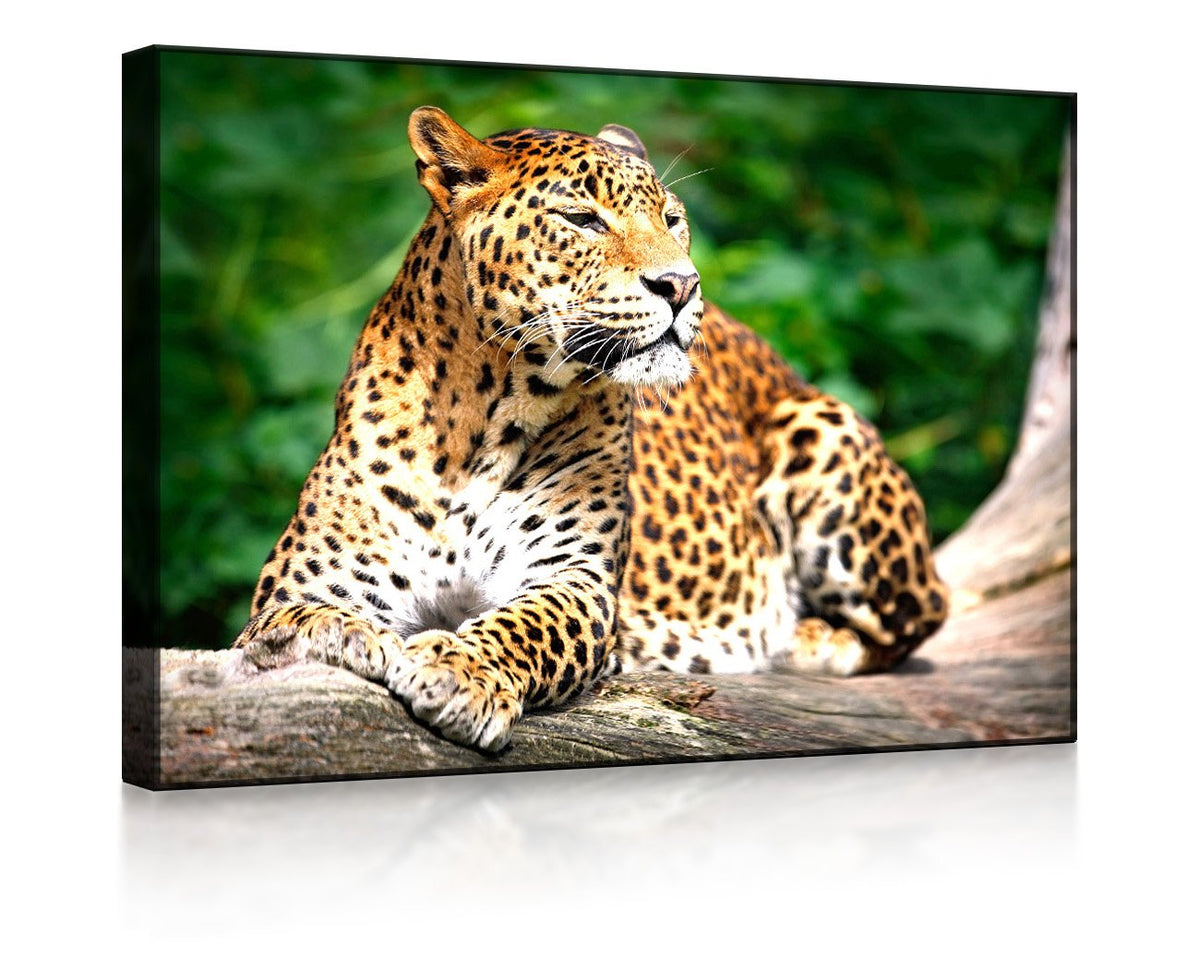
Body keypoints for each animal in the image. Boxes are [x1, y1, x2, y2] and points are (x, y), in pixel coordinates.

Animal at [233, 105, 949, 753]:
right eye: (582, 219)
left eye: (672, 219)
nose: (682, 285)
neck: (483, 416)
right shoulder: (309, 578)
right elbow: (291, 619)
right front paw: (347, 636)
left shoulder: (576, 579)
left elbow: (524, 625)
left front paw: (459, 672)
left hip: (824, 429)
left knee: (920, 615)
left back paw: (804, 637)